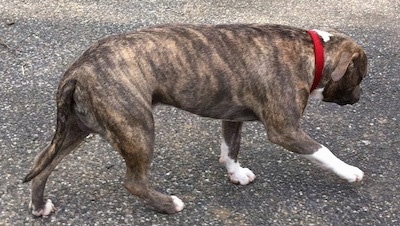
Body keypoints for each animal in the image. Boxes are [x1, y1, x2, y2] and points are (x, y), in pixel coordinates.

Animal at [23, 23, 368, 216]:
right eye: (360, 75)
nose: (359, 97)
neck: (313, 51)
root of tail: (78, 69)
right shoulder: (285, 130)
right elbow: (323, 151)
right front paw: (350, 171)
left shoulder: (232, 117)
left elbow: (230, 149)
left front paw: (235, 173)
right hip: (137, 129)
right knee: (134, 182)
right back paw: (168, 205)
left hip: (76, 129)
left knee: (43, 166)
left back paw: (39, 206)